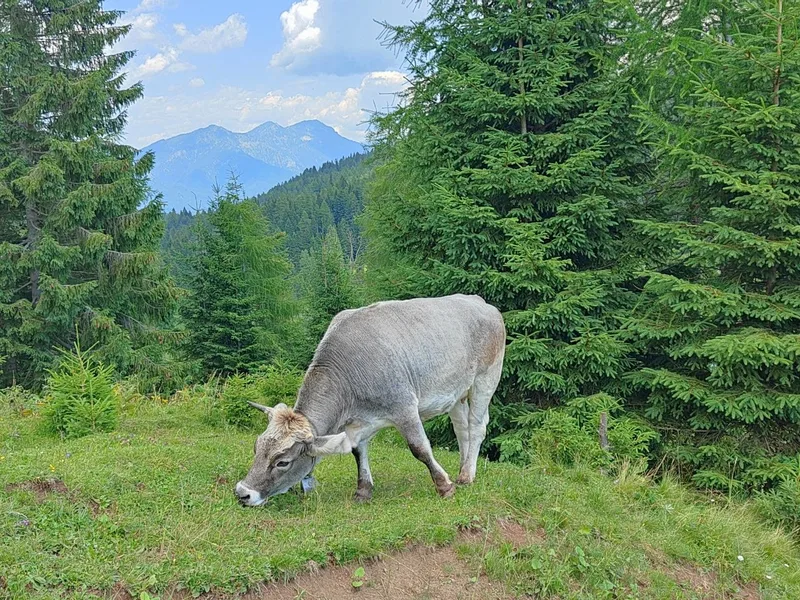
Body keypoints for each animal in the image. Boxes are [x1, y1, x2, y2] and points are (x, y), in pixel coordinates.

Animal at [234, 294, 505, 506]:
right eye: (256, 448)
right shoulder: (358, 422)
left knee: (476, 426)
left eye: (283, 462)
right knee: (462, 429)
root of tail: (478, 301)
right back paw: (463, 469)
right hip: (456, 393)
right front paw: (363, 491)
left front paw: (444, 486)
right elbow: (358, 451)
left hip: (486, 378)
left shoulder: (404, 407)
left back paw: (466, 475)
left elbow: (420, 448)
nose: (242, 493)